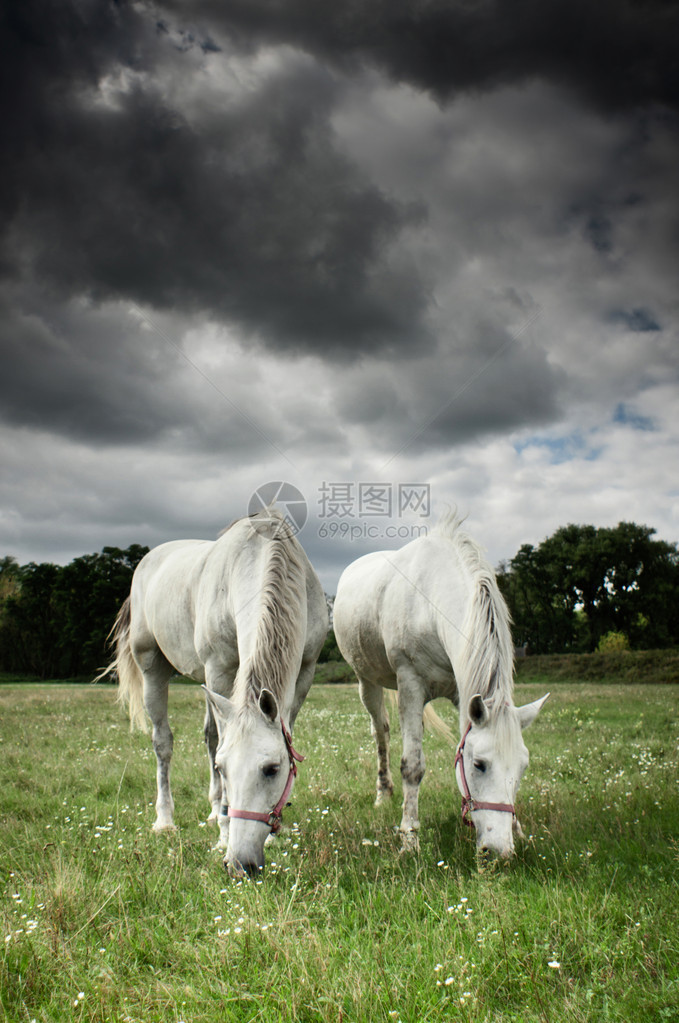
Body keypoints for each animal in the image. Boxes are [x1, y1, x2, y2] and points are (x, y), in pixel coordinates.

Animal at [100, 507, 329, 875]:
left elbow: (282, 734)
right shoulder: (219, 667)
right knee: (163, 742)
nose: (239, 864)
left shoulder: (303, 674)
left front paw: (272, 834)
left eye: (272, 769)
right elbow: (217, 744)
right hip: (154, 669)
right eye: (224, 769)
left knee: (208, 735)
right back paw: (166, 820)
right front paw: (224, 830)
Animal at [333, 515, 552, 859]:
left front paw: (519, 830)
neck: (431, 606)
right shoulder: (410, 685)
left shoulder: (464, 693)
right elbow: (413, 765)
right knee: (380, 731)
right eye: (479, 765)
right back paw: (383, 793)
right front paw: (409, 837)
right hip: (367, 682)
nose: (500, 851)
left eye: (523, 766)